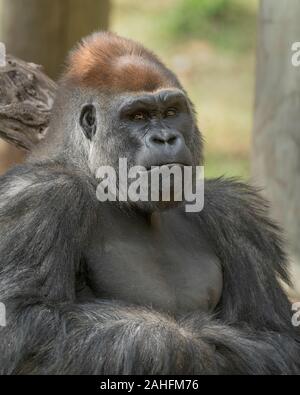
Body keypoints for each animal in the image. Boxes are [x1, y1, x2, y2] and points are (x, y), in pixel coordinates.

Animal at [0, 32, 300, 376]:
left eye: (171, 112)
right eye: (138, 116)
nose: (166, 138)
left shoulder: (234, 214)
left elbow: (276, 333)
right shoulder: (38, 197)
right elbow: (26, 326)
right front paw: (197, 350)